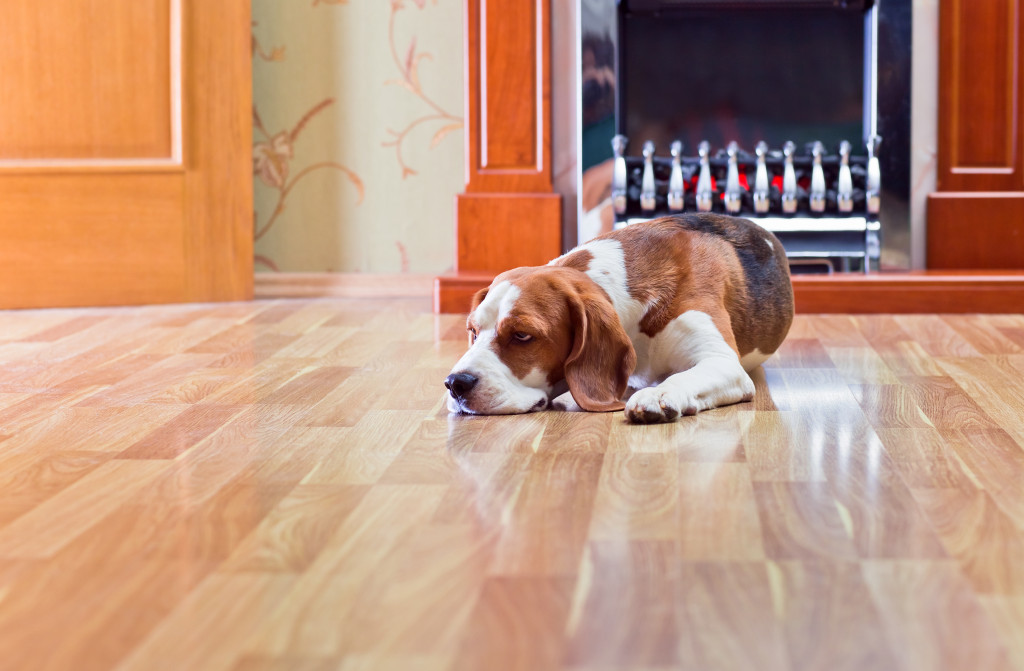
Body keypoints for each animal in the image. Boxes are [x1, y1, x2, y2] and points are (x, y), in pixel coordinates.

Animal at [444, 214, 794, 426]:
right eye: (472, 331)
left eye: (521, 335)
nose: (455, 383)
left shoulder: (722, 363)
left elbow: (684, 377)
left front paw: (658, 395)